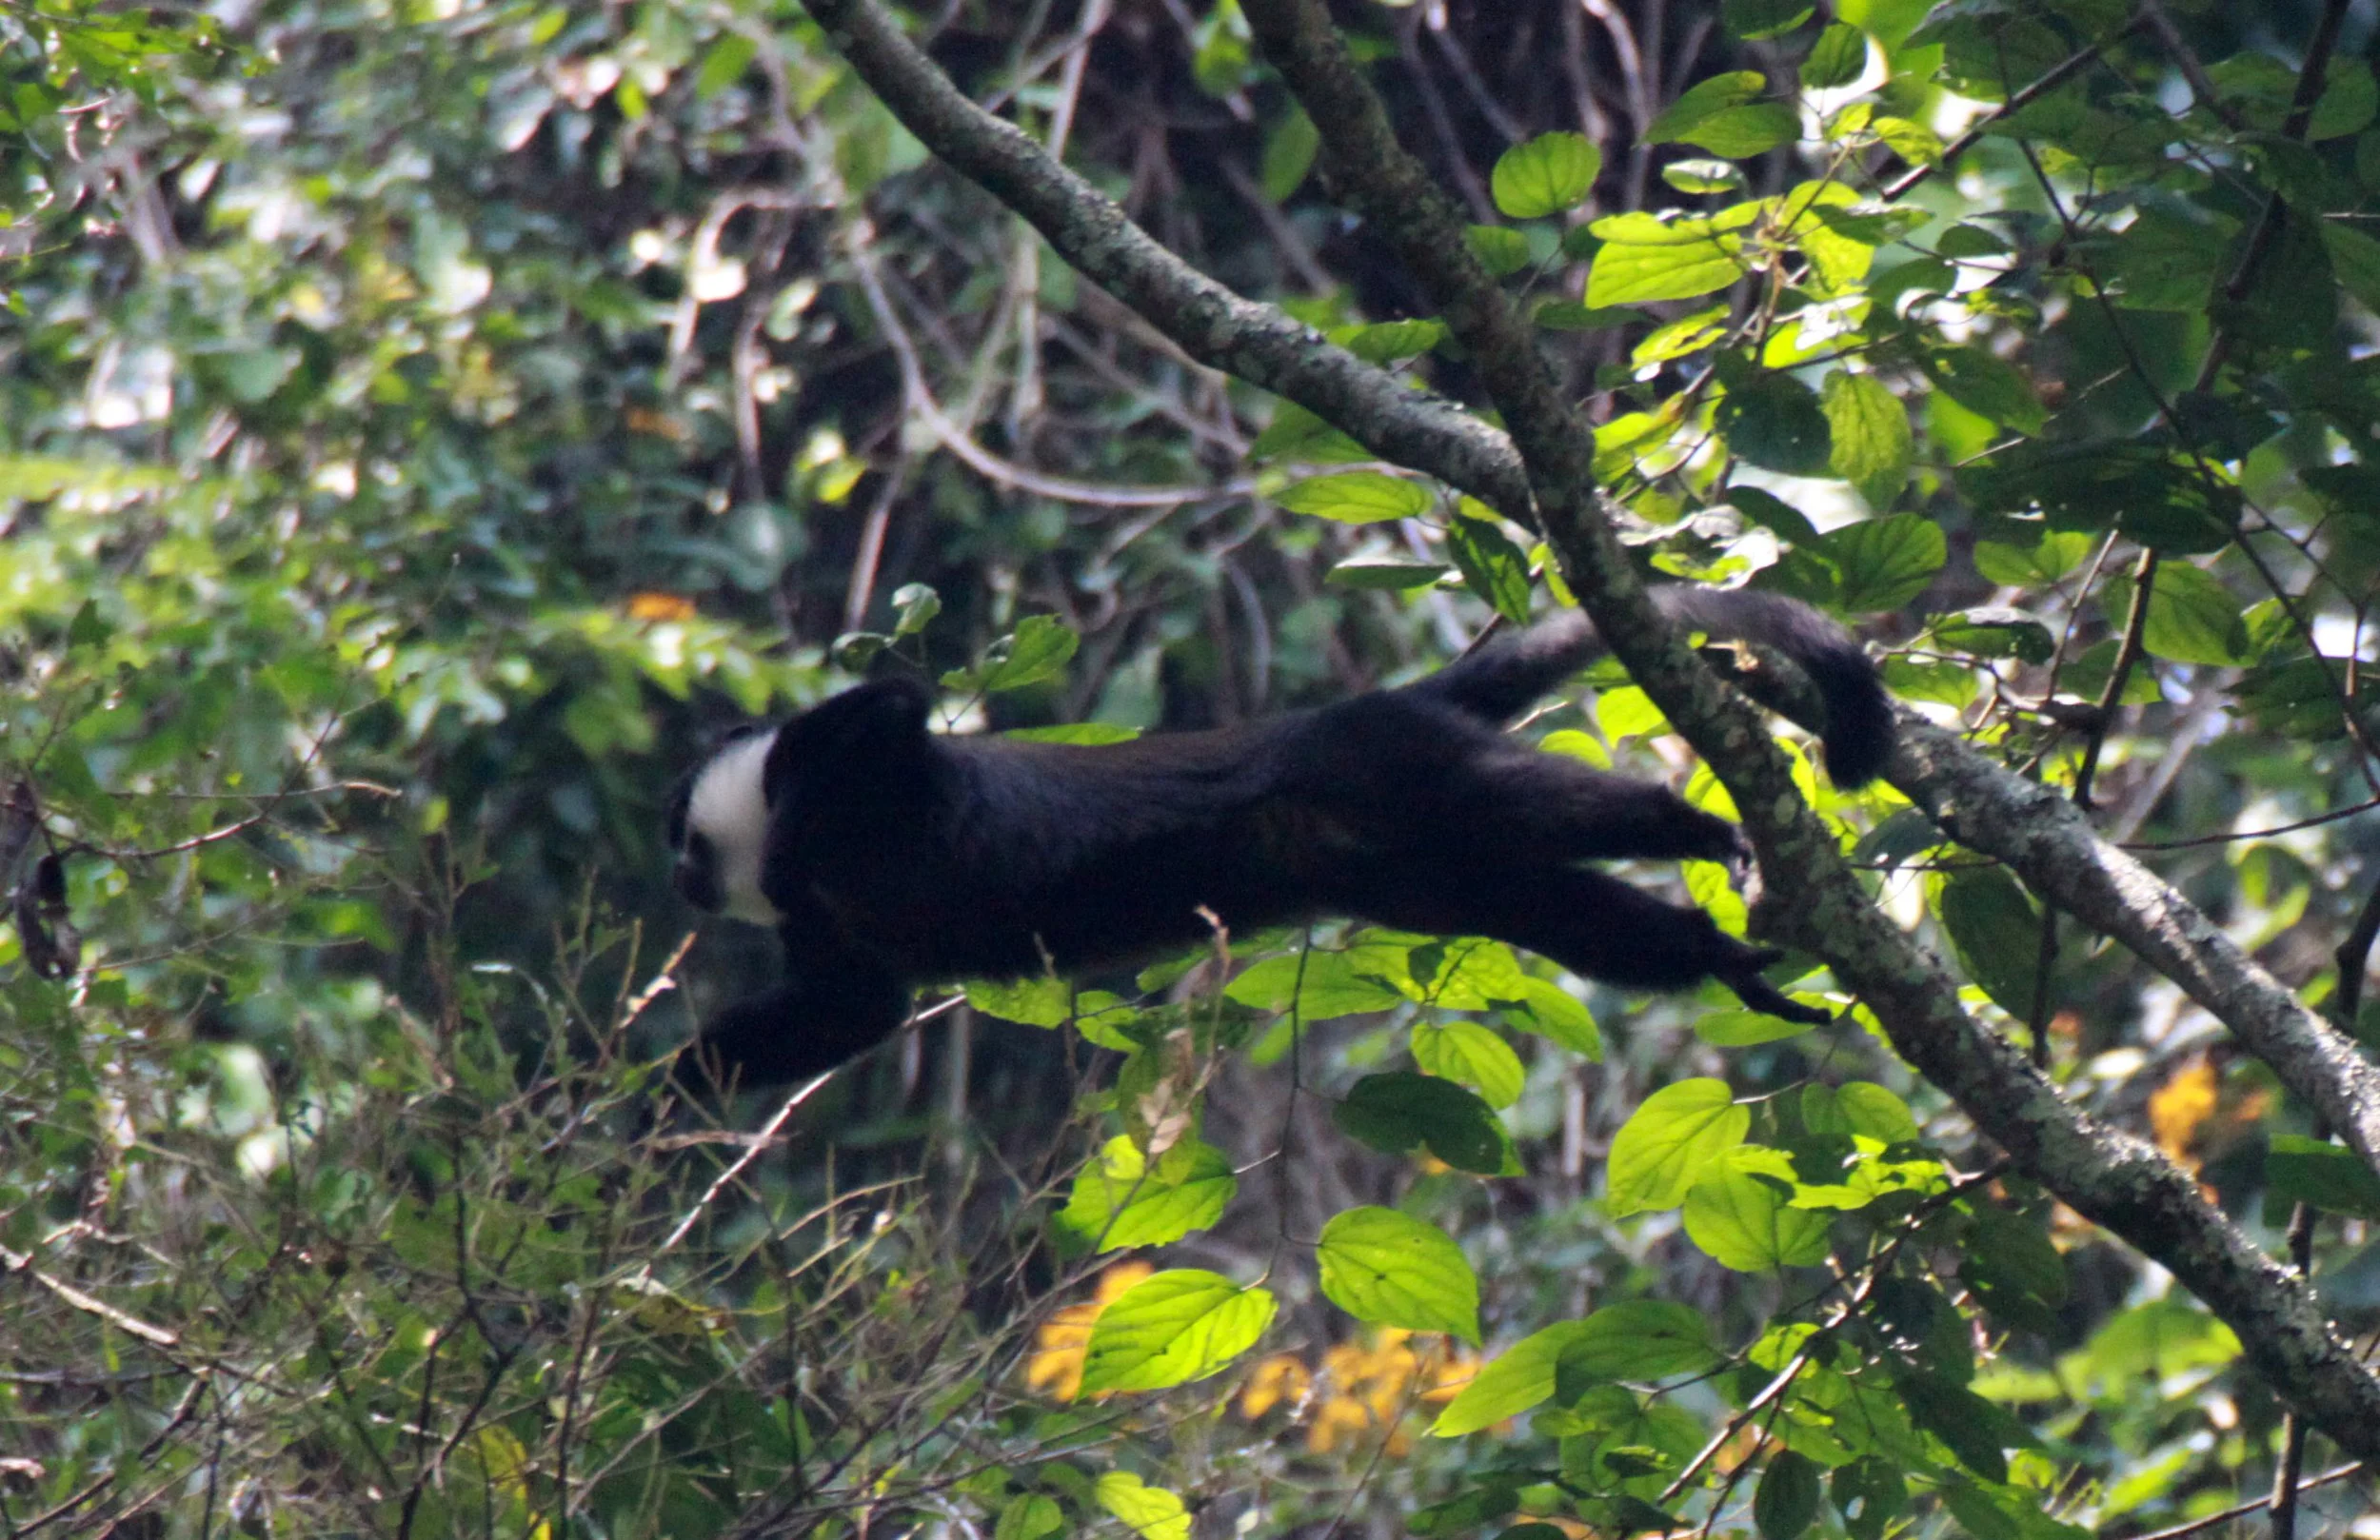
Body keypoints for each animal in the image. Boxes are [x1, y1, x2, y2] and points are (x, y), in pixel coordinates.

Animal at [666, 586, 1894, 1086]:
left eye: (684, 843)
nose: (681, 879)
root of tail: (1369, 704)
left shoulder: (852, 782)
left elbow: (889, 707)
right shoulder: (825, 931)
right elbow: (853, 1006)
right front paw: (659, 1105)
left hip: (1386, 761)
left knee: (1529, 801)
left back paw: (1692, 824)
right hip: (1412, 873)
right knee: (1549, 909)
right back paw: (1714, 957)